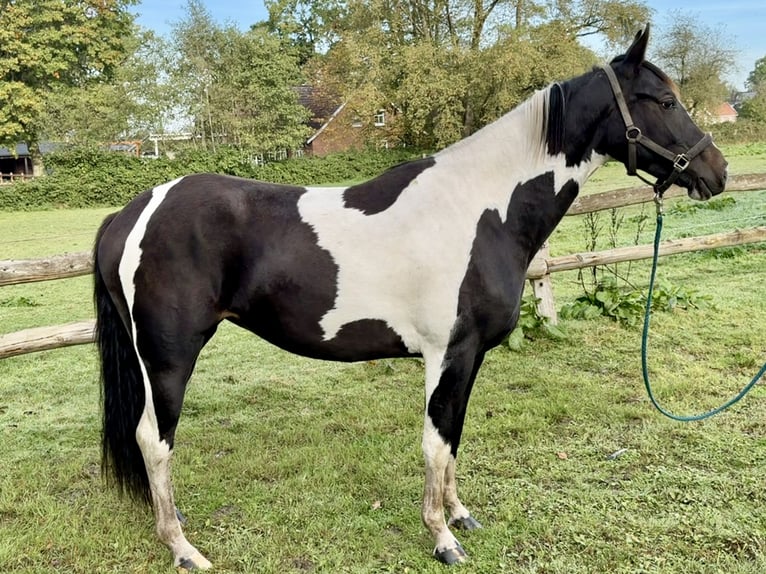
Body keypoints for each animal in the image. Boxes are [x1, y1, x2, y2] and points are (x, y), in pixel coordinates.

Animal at [93, 25, 727, 570]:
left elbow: (454, 438)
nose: (715, 171)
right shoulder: (447, 354)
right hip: (168, 358)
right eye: (663, 102)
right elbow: (434, 442)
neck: (481, 209)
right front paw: (442, 538)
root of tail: (133, 212)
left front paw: (460, 515)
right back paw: (183, 549)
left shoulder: (469, 359)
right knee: (154, 441)